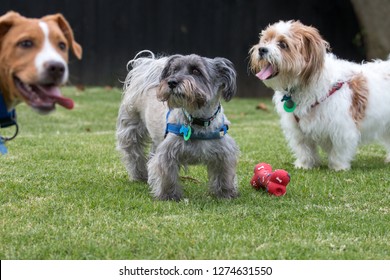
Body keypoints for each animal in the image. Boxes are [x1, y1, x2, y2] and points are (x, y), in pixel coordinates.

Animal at [116, 49, 238, 199]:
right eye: (175, 70)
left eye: (196, 70)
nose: (171, 82)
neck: (197, 119)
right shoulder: (167, 153)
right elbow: (167, 175)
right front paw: (169, 195)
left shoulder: (224, 154)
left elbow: (224, 175)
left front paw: (226, 193)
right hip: (131, 130)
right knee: (134, 155)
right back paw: (140, 175)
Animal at [251, 19, 390, 171]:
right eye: (266, 40)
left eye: (283, 44)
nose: (261, 49)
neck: (305, 83)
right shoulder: (297, 129)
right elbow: (304, 148)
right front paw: (304, 165)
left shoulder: (342, 127)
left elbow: (339, 150)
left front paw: (338, 167)